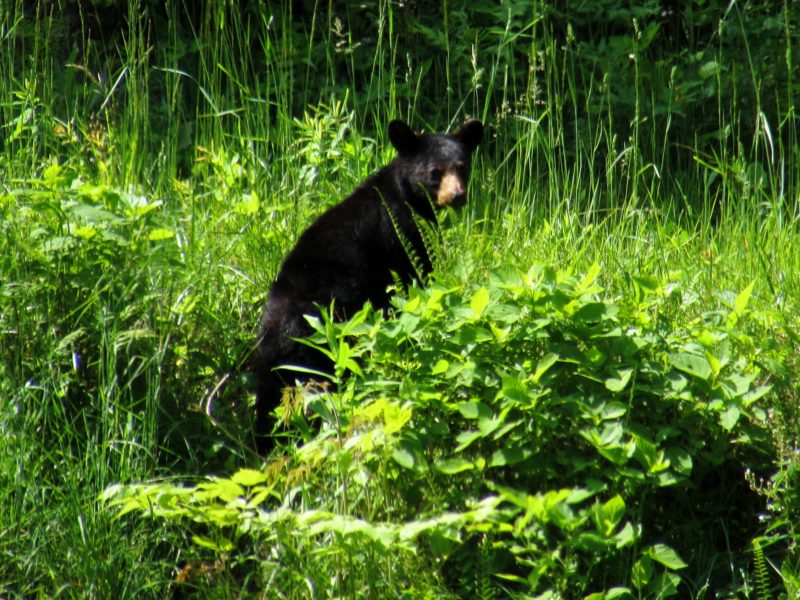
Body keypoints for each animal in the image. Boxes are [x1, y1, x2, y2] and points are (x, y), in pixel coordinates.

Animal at [253, 118, 484, 454]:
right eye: (435, 172)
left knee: (268, 397)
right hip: (332, 329)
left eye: (462, 166)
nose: (457, 195)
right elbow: (415, 280)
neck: (406, 196)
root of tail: (285, 324)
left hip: (271, 357)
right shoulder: (402, 236)